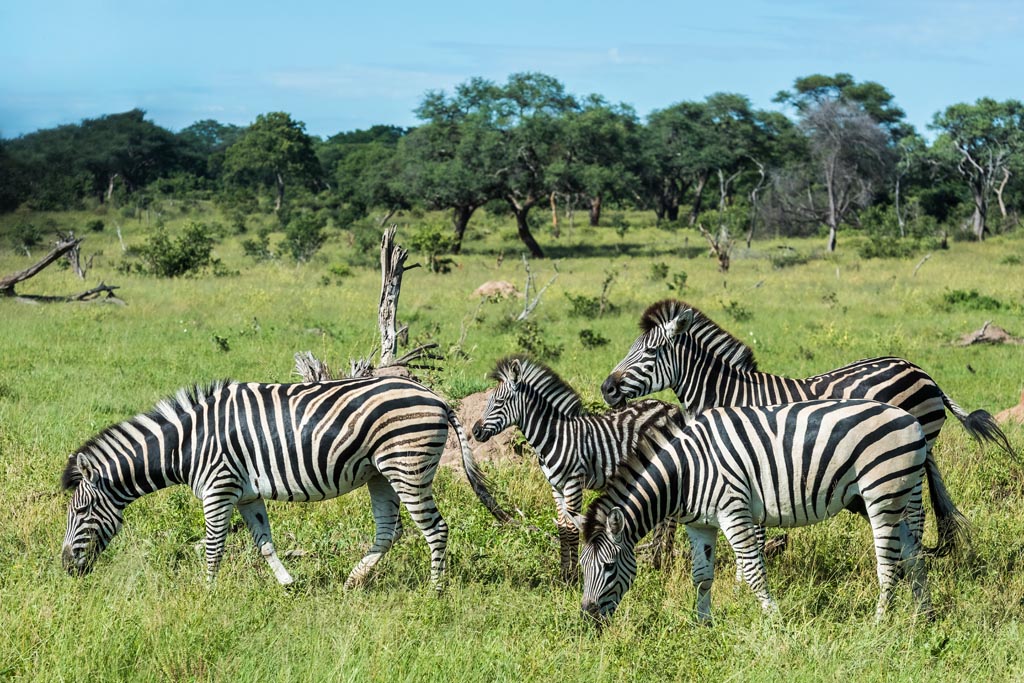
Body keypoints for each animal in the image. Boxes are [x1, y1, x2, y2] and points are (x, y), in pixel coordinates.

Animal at [61, 376, 512, 590]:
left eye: (80, 511)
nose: (65, 567)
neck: (188, 444)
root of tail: (435, 397)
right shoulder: (246, 495)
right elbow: (263, 542)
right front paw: (288, 584)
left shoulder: (218, 487)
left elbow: (213, 546)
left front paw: (206, 593)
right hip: (380, 473)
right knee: (390, 530)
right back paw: (352, 582)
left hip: (407, 467)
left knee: (435, 529)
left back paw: (435, 592)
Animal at [470, 355, 685, 582]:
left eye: (499, 403)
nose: (475, 431)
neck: (554, 435)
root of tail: (672, 407)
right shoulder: (556, 487)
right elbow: (562, 528)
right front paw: (563, 574)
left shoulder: (573, 483)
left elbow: (572, 528)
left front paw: (573, 577)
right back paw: (657, 563)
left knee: (672, 516)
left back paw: (665, 565)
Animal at [576, 398, 967, 623]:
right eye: (582, 568)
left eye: (608, 567)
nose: (588, 618)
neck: (686, 471)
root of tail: (912, 420)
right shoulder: (699, 525)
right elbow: (701, 576)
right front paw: (703, 625)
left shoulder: (733, 509)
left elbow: (752, 571)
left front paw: (775, 622)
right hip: (901, 491)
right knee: (915, 554)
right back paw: (924, 617)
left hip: (882, 494)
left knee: (889, 564)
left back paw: (880, 623)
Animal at [600, 299, 1014, 558]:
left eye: (650, 352)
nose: (606, 388)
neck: (727, 393)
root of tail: (924, 373)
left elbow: (752, 531)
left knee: (915, 513)